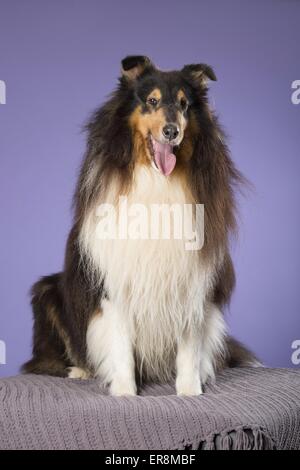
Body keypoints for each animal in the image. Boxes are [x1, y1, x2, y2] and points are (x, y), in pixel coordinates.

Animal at [22, 56, 258, 396]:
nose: (172, 132)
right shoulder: (116, 281)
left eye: (184, 104)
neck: (157, 180)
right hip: (48, 292)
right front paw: (124, 392)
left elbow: (189, 347)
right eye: (152, 101)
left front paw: (189, 391)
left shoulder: (191, 280)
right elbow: (120, 345)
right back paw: (79, 370)